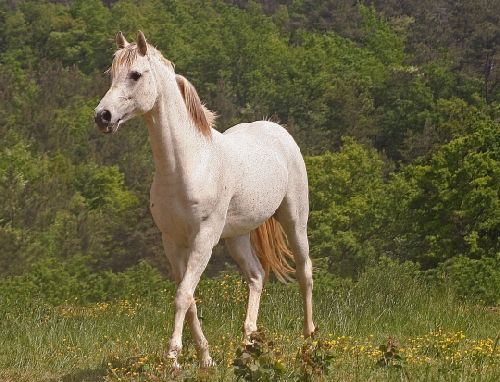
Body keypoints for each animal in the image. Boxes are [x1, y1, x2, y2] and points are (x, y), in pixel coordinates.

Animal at [94, 32, 314, 368]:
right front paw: (205, 357)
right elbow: (190, 298)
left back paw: (309, 343)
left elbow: (183, 296)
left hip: (294, 220)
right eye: (111, 74)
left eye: (135, 75)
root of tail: (278, 131)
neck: (187, 165)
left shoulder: (203, 240)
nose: (102, 117)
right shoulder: (172, 242)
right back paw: (247, 346)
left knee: (305, 272)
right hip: (237, 237)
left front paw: (172, 357)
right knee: (256, 276)